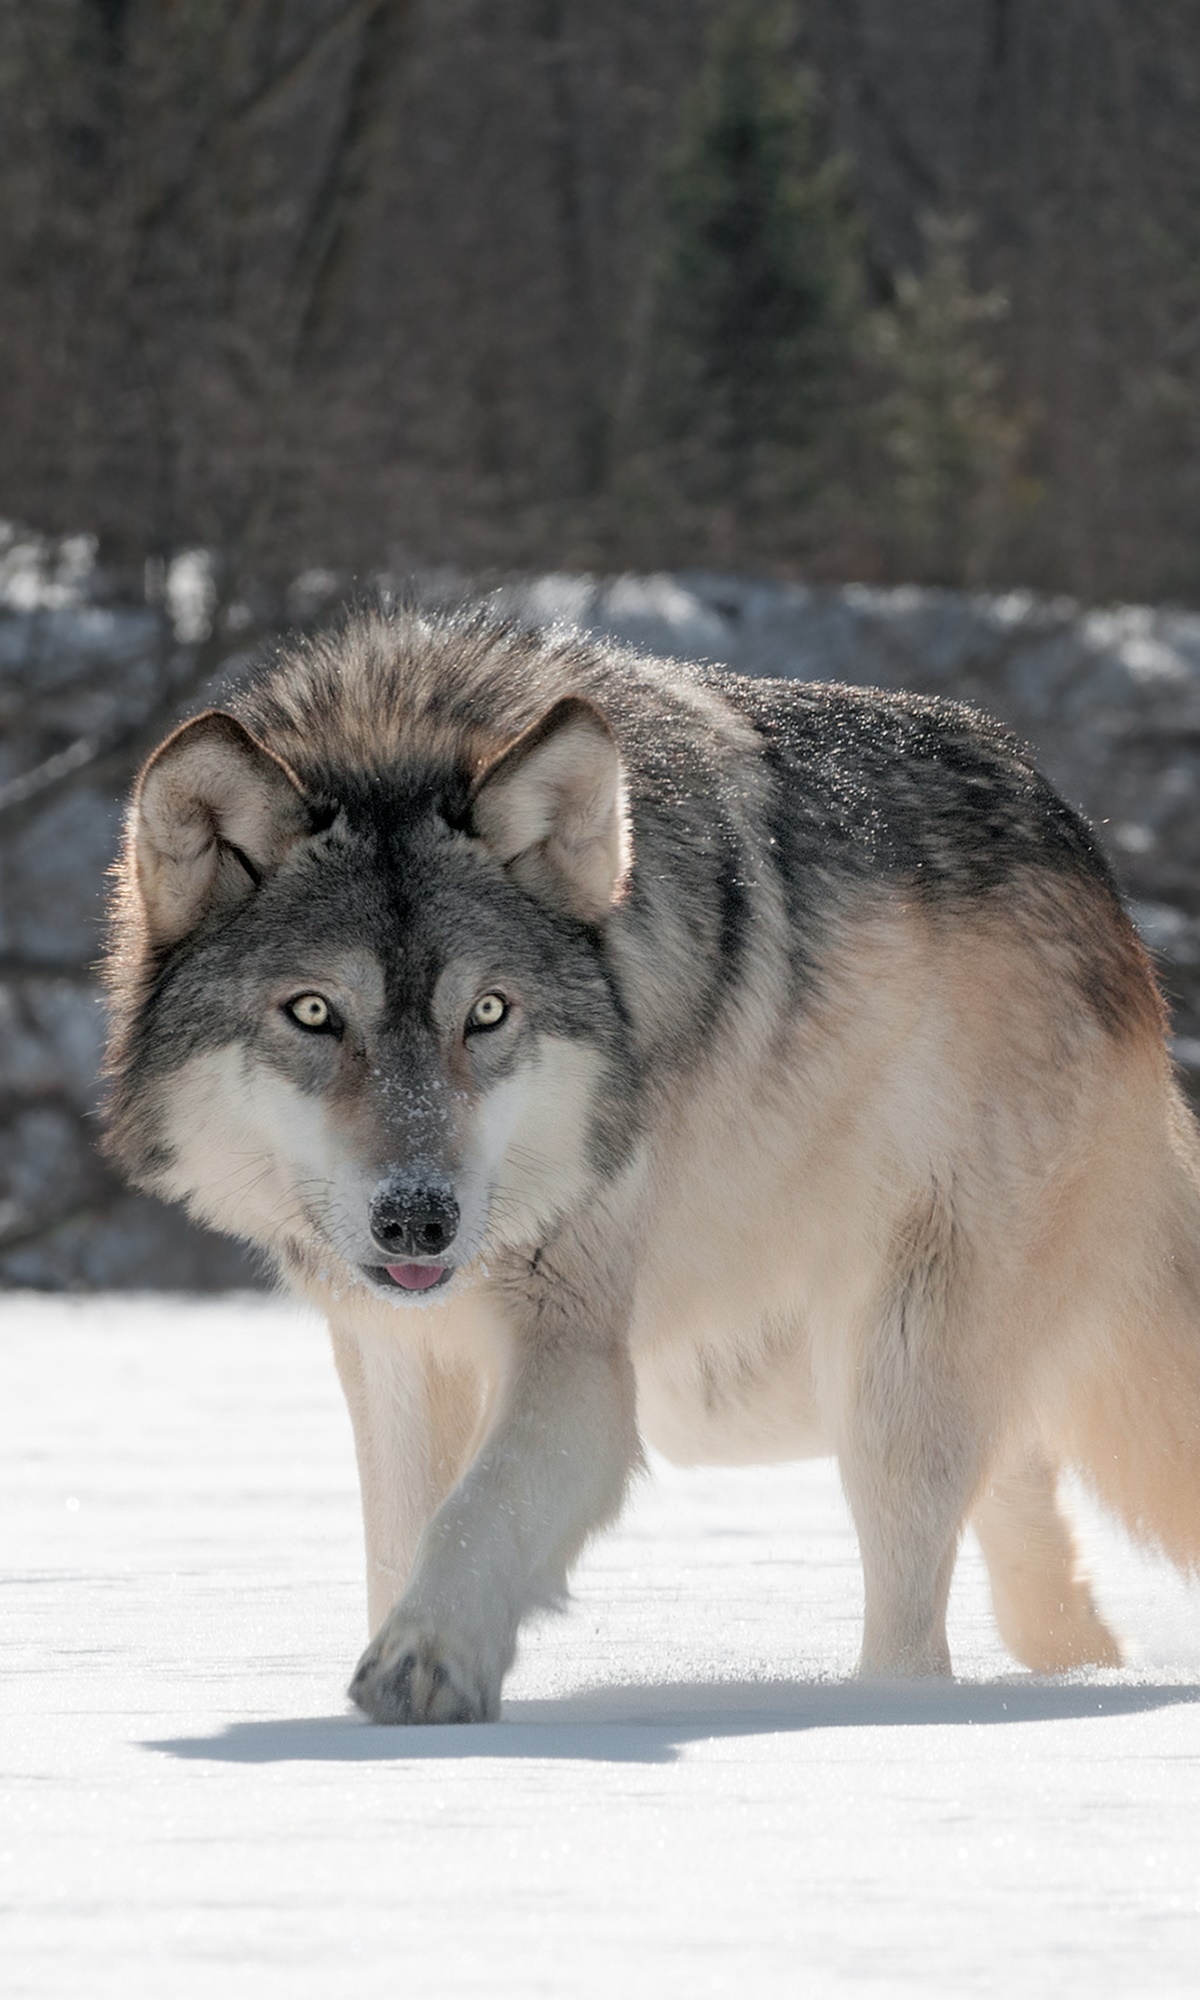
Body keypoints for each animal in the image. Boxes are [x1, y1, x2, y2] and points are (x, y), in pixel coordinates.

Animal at [103, 606, 1200, 1721]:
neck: (402, 729)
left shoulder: (577, 1351)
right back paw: (1072, 1665)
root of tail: (1100, 880)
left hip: (880, 1371)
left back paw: (896, 1709)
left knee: (919, 1608)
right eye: (315, 1012)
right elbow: (403, 1535)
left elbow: (476, 1512)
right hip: (750, 1385)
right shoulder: (396, 1350)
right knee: (1021, 1488)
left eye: (487, 1011)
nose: (419, 1218)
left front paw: (426, 1660)